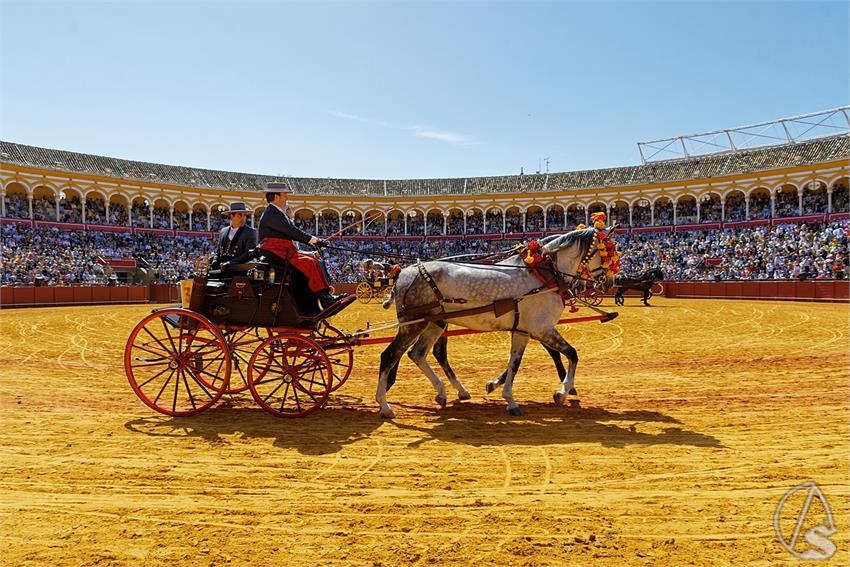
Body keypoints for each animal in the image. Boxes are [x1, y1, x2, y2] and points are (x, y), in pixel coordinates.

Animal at [378, 229, 608, 420]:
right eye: (608, 248)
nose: (607, 281)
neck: (542, 275)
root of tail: (403, 273)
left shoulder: (523, 331)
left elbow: (514, 363)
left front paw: (509, 399)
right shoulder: (542, 329)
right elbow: (572, 354)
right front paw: (562, 392)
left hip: (434, 323)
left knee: (418, 354)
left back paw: (444, 392)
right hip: (413, 324)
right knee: (391, 355)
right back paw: (384, 405)